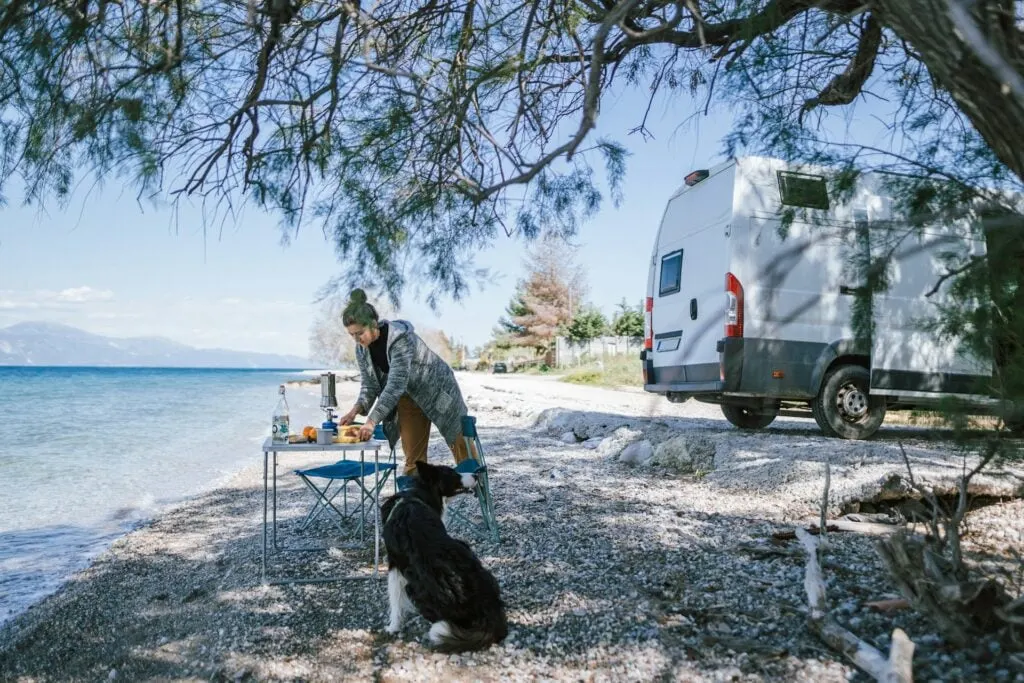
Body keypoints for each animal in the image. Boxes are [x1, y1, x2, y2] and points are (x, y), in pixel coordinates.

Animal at [380, 462, 507, 655]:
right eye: (453, 474)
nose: (476, 476)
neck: (418, 493)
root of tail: (487, 607)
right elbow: (395, 600)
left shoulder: (394, 565)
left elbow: (394, 601)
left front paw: (393, 627)